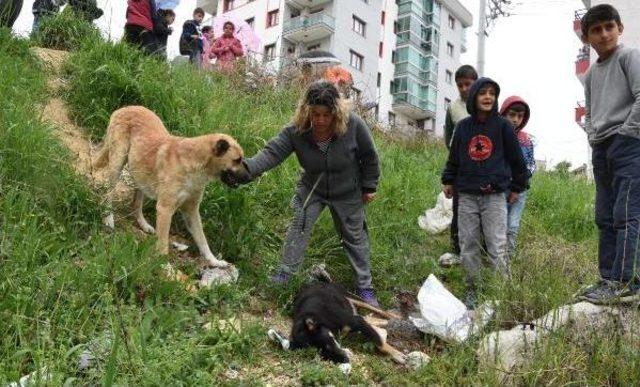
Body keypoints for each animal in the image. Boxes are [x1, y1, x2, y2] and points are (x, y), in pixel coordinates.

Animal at [94, 107, 251, 270]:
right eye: (237, 160)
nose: (250, 176)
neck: (195, 165)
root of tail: (125, 107)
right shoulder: (165, 209)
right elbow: (163, 244)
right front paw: (164, 266)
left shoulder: (191, 211)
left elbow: (202, 240)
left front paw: (214, 261)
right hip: (117, 163)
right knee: (107, 194)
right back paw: (108, 219)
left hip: (141, 175)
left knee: (136, 204)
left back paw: (143, 224)